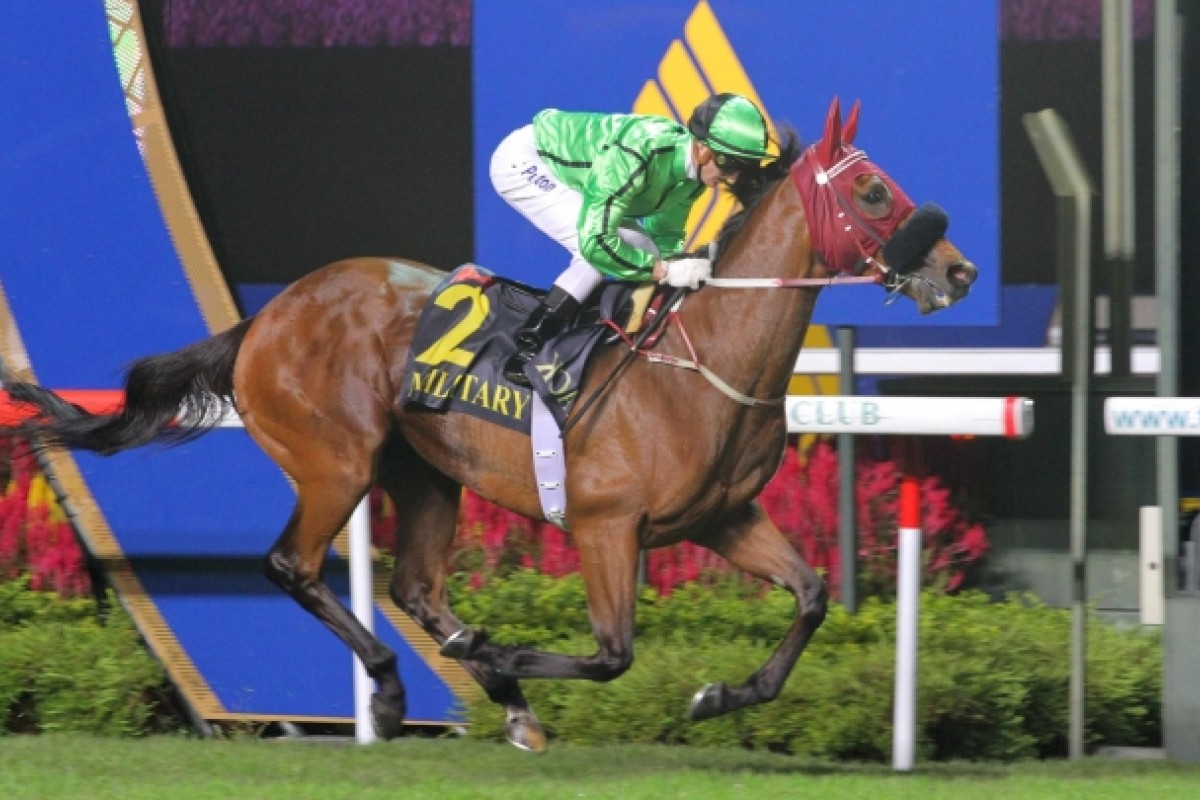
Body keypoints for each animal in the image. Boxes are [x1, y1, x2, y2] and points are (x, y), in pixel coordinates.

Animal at [2, 98, 974, 753]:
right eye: (875, 193)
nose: (959, 271)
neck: (698, 370)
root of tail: (266, 316)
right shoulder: (605, 526)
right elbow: (613, 654)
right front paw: (502, 651)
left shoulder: (723, 518)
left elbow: (810, 598)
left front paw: (716, 697)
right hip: (336, 462)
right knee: (294, 567)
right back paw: (398, 692)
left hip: (427, 475)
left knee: (415, 588)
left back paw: (503, 700)